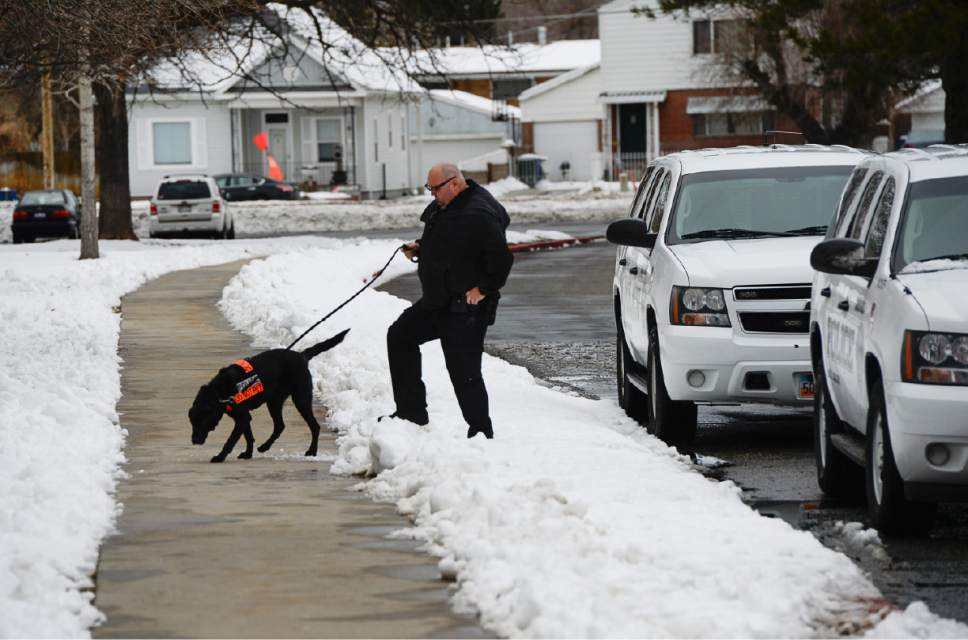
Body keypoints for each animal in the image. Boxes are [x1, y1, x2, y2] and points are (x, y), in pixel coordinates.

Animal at [187, 332, 350, 462]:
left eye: (202, 421)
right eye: (192, 422)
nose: (194, 440)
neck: (219, 391)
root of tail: (301, 356)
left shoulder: (241, 418)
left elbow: (231, 441)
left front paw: (220, 457)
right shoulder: (244, 418)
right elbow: (248, 436)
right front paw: (248, 454)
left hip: (300, 399)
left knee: (314, 426)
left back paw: (312, 451)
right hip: (274, 401)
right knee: (280, 426)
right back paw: (264, 447)